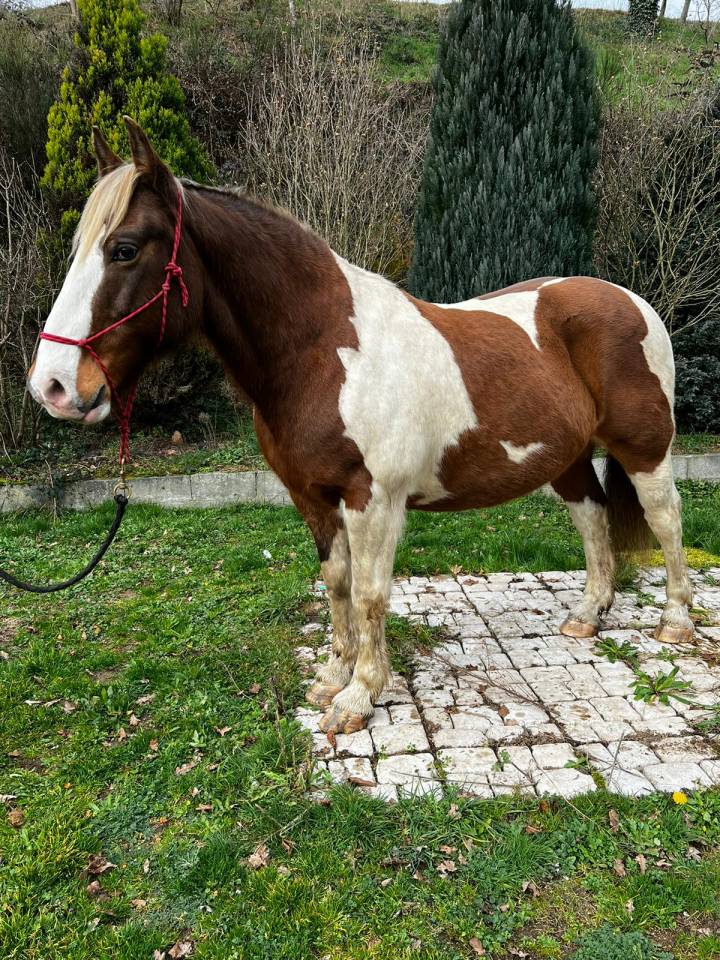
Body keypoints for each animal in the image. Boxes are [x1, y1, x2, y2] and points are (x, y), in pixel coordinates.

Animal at [28, 118, 694, 735]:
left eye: (124, 249)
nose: (52, 386)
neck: (323, 351)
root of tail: (632, 301)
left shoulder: (371, 498)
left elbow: (372, 592)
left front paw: (361, 695)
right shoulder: (313, 498)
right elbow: (337, 584)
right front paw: (333, 676)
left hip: (645, 449)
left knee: (665, 520)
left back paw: (676, 622)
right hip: (567, 456)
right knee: (593, 517)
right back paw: (588, 614)